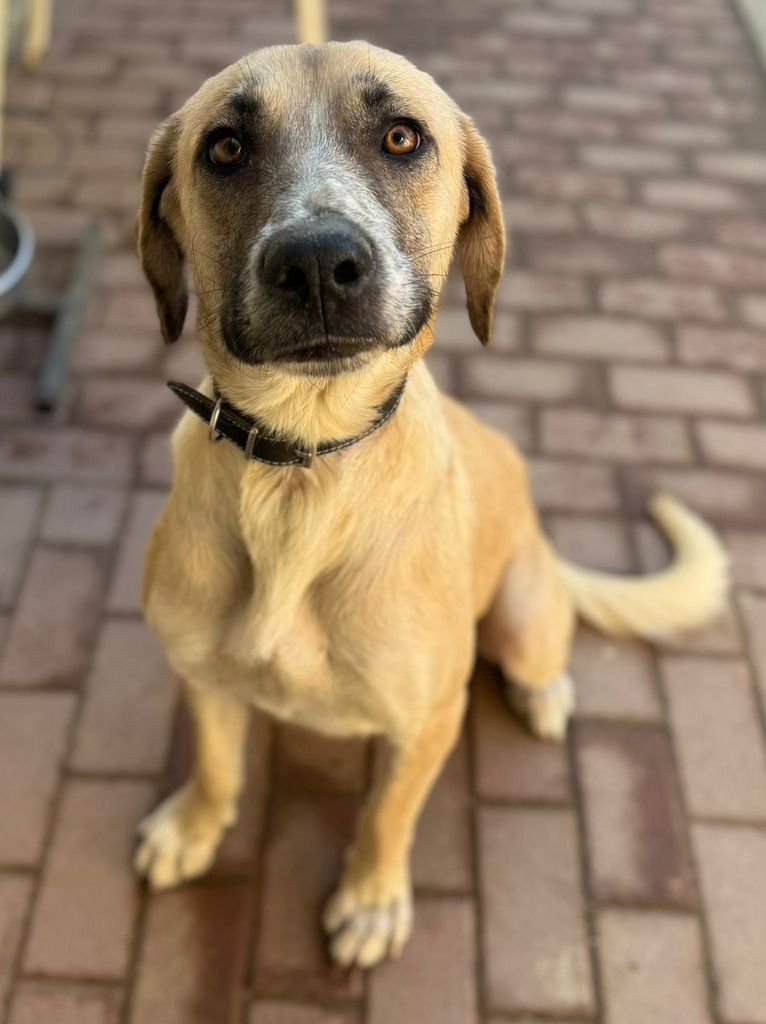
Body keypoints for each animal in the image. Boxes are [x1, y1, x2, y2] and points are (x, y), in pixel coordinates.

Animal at [133, 40, 728, 968]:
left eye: (402, 137)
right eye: (225, 147)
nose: (316, 263)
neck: (302, 475)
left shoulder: (426, 722)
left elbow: (387, 814)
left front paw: (372, 901)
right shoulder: (201, 672)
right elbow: (219, 766)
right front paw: (195, 827)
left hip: (522, 619)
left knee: (540, 656)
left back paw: (545, 695)